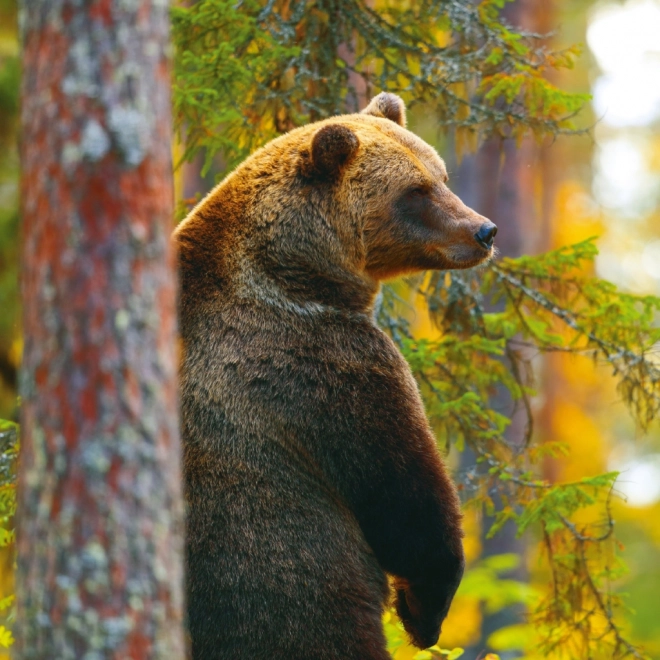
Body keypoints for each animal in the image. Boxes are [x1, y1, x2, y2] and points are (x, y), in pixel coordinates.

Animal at [174, 93, 496, 660]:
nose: (483, 230)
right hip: (293, 599)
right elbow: (406, 497)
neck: (300, 275)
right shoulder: (326, 367)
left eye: (442, 175)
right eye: (414, 192)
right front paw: (423, 613)